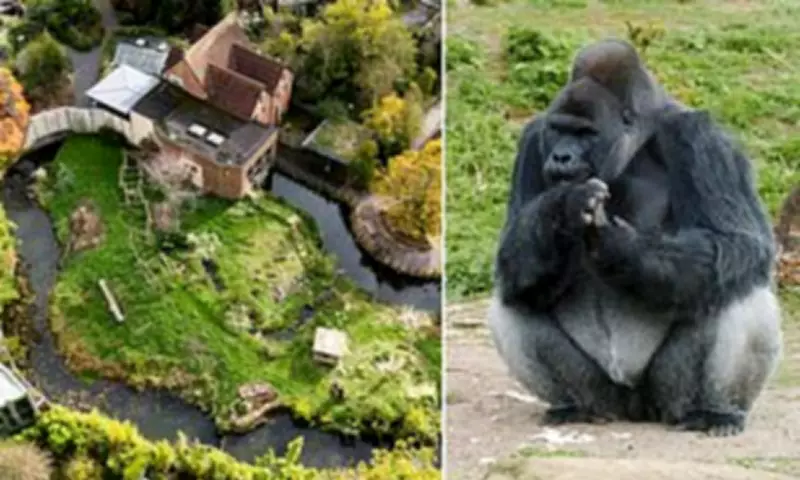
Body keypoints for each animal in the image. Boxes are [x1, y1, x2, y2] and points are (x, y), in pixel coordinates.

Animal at [488, 38, 783, 436]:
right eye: (560, 130)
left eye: (585, 133)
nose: (562, 157)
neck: (638, 140)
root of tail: (633, 409)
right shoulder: (534, 139)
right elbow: (512, 259)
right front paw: (562, 208)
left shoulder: (701, 138)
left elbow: (738, 242)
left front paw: (621, 250)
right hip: (604, 395)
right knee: (516, 298)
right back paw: (574, 407)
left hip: (666, 396)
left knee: (736, 285)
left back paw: (715, 411)